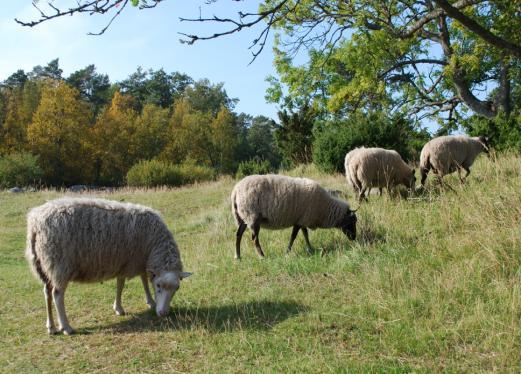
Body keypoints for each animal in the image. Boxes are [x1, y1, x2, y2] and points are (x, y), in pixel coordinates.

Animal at [25, 197, 192, 334]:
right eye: (158, 286)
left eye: (177, 288)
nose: (163, 313)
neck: (154, 244)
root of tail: (35, 222)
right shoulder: (129, 261)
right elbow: (122, 284)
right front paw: (120, 308)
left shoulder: (137, 261)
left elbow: (143, 280)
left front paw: (149, 301)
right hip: (60, 265)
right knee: (57, 295)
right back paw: (66, 327)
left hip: (44, 265)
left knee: (47, 292)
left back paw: (51, 327)